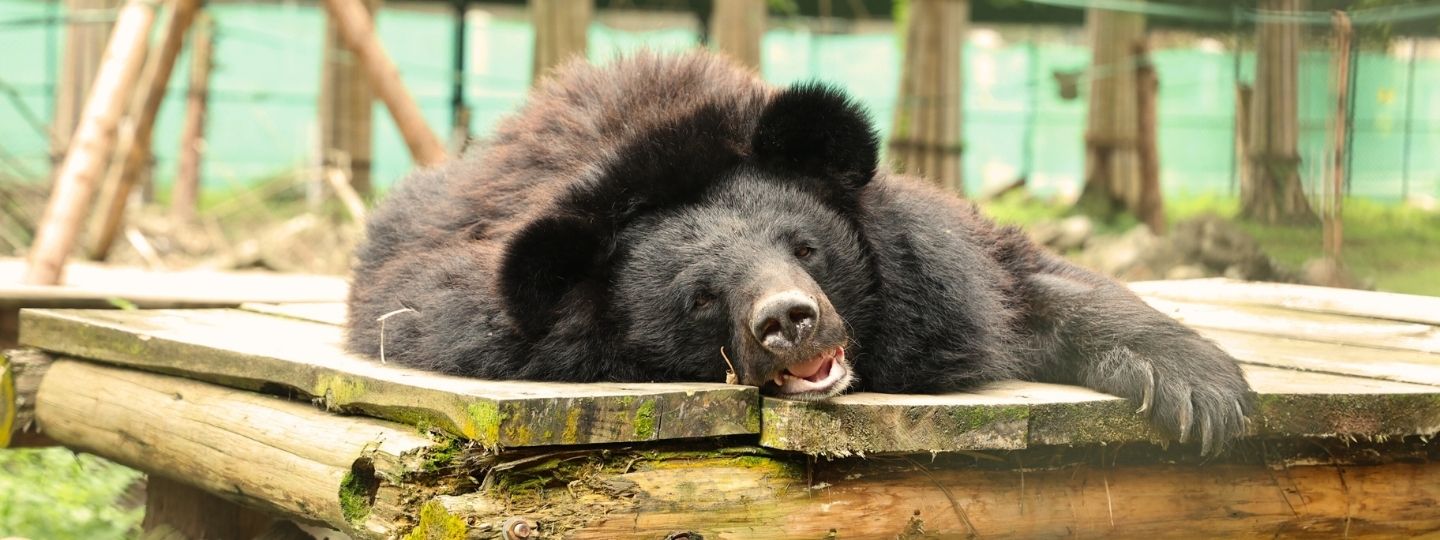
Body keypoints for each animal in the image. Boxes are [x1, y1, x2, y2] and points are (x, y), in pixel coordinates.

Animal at [346, 51, 1253, 454]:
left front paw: (1202, 393)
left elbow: (1016, 281)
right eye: (702, 297)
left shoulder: (937, 268)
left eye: (807, 247)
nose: (791, 320)